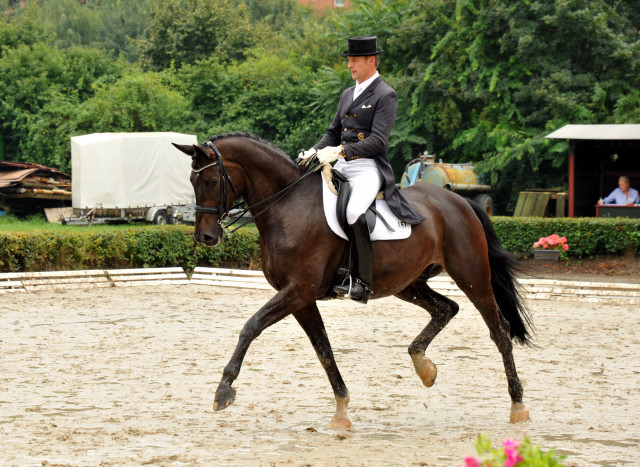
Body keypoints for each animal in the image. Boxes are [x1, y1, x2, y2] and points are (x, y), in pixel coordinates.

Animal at [172, 133, 532, 428]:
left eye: (212, 181)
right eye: (192, 180)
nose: (206, 237)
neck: (286, 205)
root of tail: (461, 202)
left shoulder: (297, 291)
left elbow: (251, 326)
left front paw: (223, 390)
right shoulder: (301, 299)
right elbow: (323, 349)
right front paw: (341, 410)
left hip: (472, 275)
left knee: (499, 331)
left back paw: (518, 405)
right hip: (408, 283)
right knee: (446, 308)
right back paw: (424, 367)